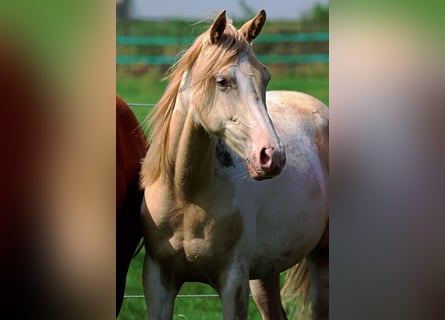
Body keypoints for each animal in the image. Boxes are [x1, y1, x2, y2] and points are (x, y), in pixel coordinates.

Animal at [140, 10, 328, 320]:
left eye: (265, 78)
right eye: (222, 81)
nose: (273, 156)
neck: (186, 196)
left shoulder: (233, 282)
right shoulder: (158, 281)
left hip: (322, 258)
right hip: (265, 273)